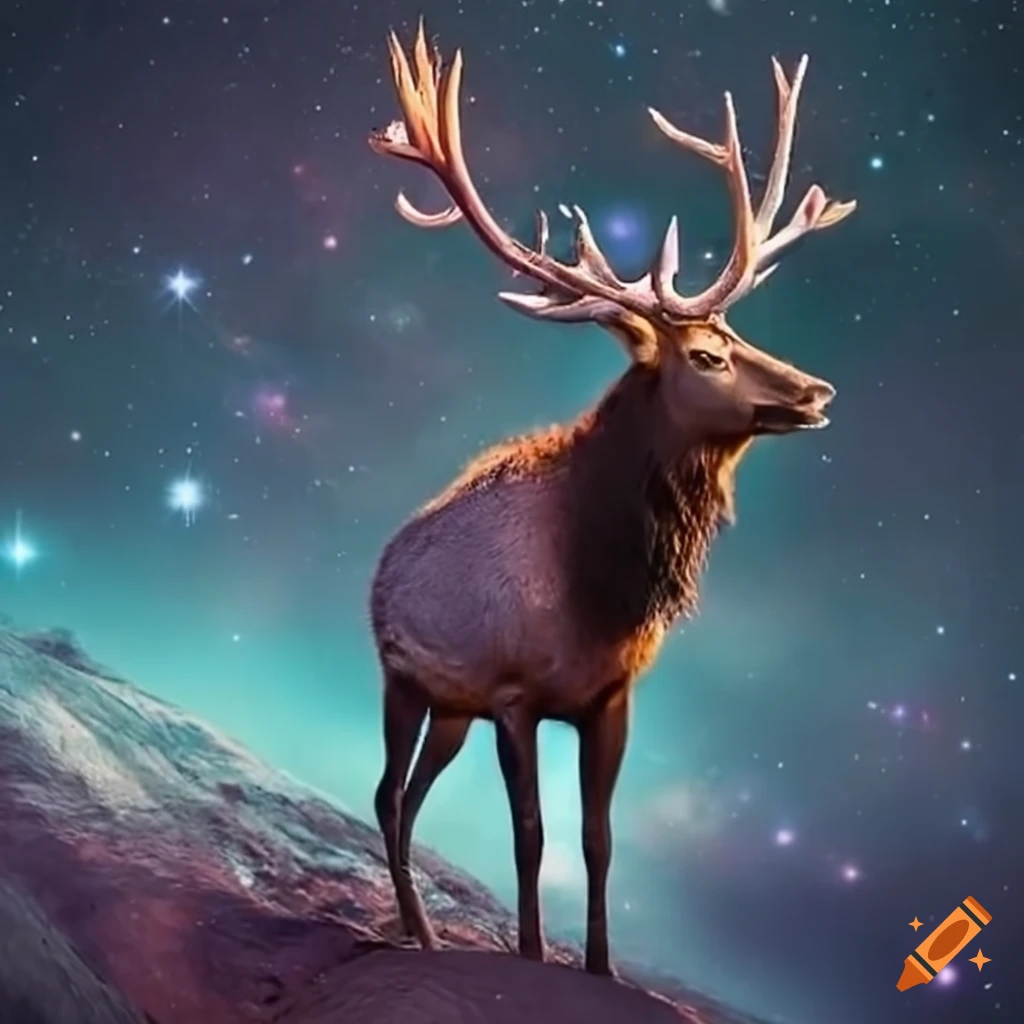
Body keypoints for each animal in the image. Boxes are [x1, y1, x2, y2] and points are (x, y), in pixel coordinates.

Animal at [367, 21, 856, 978]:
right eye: (706, 354)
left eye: (739, 333)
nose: (815, 390)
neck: (602, 585)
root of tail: (383, 559)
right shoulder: (514, 696)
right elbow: (530, 835)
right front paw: (528, 955)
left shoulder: (611, 700)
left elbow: (599, 840)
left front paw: (601, 966)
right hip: (403, 680)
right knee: (385, 796)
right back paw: (421, 934)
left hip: (450, 707)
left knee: (409, 798)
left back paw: (421, 930)